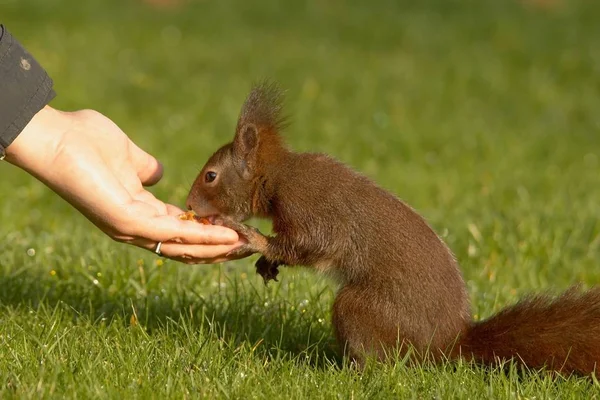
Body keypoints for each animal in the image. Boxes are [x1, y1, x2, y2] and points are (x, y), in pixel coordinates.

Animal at [185, 82, 600, 378]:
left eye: (210, 176)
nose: (188, 204)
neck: (278, 176)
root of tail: (448, 346)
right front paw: (267, 263)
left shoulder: (311, 208)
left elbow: (311, 244)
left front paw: (252, 239)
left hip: (365, 311)